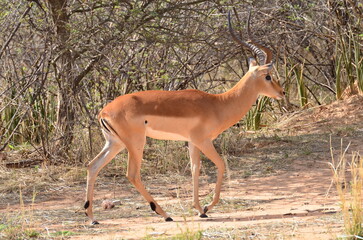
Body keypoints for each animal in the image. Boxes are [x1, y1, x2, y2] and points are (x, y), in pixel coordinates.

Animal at [84, 11, 284, 225]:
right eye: (268, 76)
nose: (282, 92)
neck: (218, 104)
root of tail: (104, 112)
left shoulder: (192, 142)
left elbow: (195, 169)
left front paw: (200, 210)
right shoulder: (203, 141)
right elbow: (221, 164)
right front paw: (207, 206)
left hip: (115, 143)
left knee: (92, 166)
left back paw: (92, 218)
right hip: (136, 143)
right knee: (132, 174)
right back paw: (165, 214)